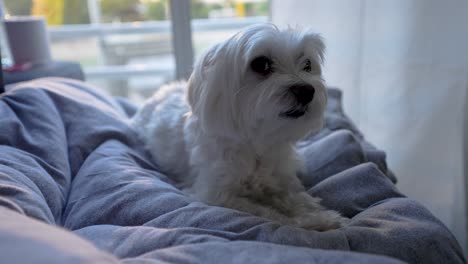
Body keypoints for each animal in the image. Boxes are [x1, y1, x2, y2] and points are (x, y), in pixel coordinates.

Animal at [132, 23, 348, 230]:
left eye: (307, 64)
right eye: (261, 64)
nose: (306, 91)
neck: (257, 141)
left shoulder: (282, 179)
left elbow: (296, 198)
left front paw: (324, 217)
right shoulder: (216, 195)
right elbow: (266, 212)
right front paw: (307, 222)